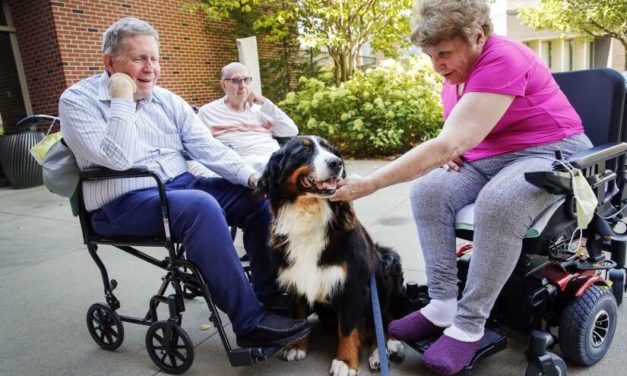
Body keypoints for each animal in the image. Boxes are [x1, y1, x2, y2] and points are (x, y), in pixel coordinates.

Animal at [258, 136, 404, 376]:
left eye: (331, 150)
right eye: (305, 151)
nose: (336, 163)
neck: (309, 214)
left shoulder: (351, 284)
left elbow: (348, 328)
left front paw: (345, 362)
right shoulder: (295, 279)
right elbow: (299, 315)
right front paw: (297, 346)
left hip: (390, 263)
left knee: (386, 318)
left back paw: (384, 349)